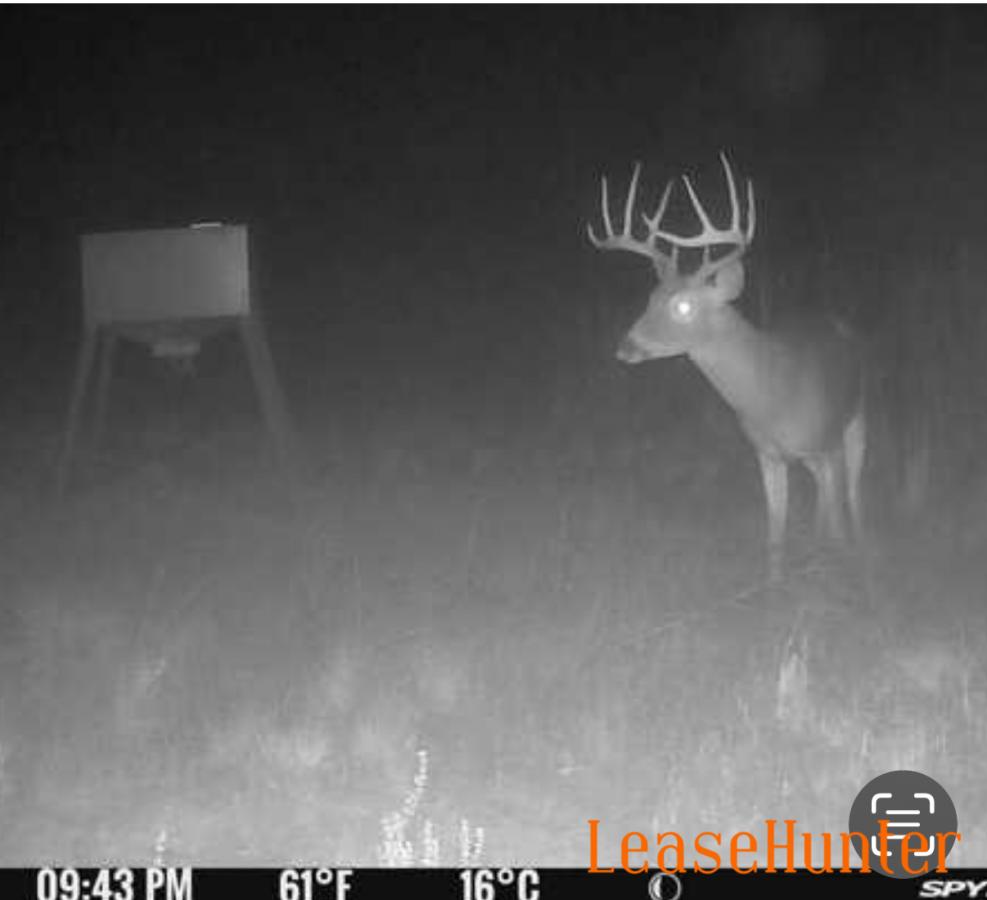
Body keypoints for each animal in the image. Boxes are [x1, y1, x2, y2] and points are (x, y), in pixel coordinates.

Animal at [587, 153, 865, 578]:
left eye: (683, 306)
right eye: (651, 298)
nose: (626, 347)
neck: (773, 393)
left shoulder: (828, 441)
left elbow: (837, 520)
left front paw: (842, 572)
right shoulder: (767, 453)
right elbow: (775, 535)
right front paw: (776, 585)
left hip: (858, 418)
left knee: (852, 495)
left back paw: (859, 546)